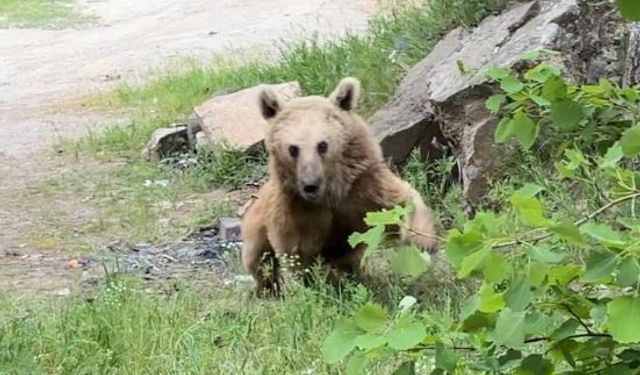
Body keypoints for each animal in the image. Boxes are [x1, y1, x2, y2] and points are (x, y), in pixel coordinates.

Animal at [242, 78, 438, 298]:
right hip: (256, 226)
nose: (310, 185)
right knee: (259, 261)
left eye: (322, 145)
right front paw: (315, 286)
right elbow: (297, 253)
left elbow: (399, 202)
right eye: (293, 148)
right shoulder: (295, 209)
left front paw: (423, 241)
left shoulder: (363, 186)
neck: (330, 193)